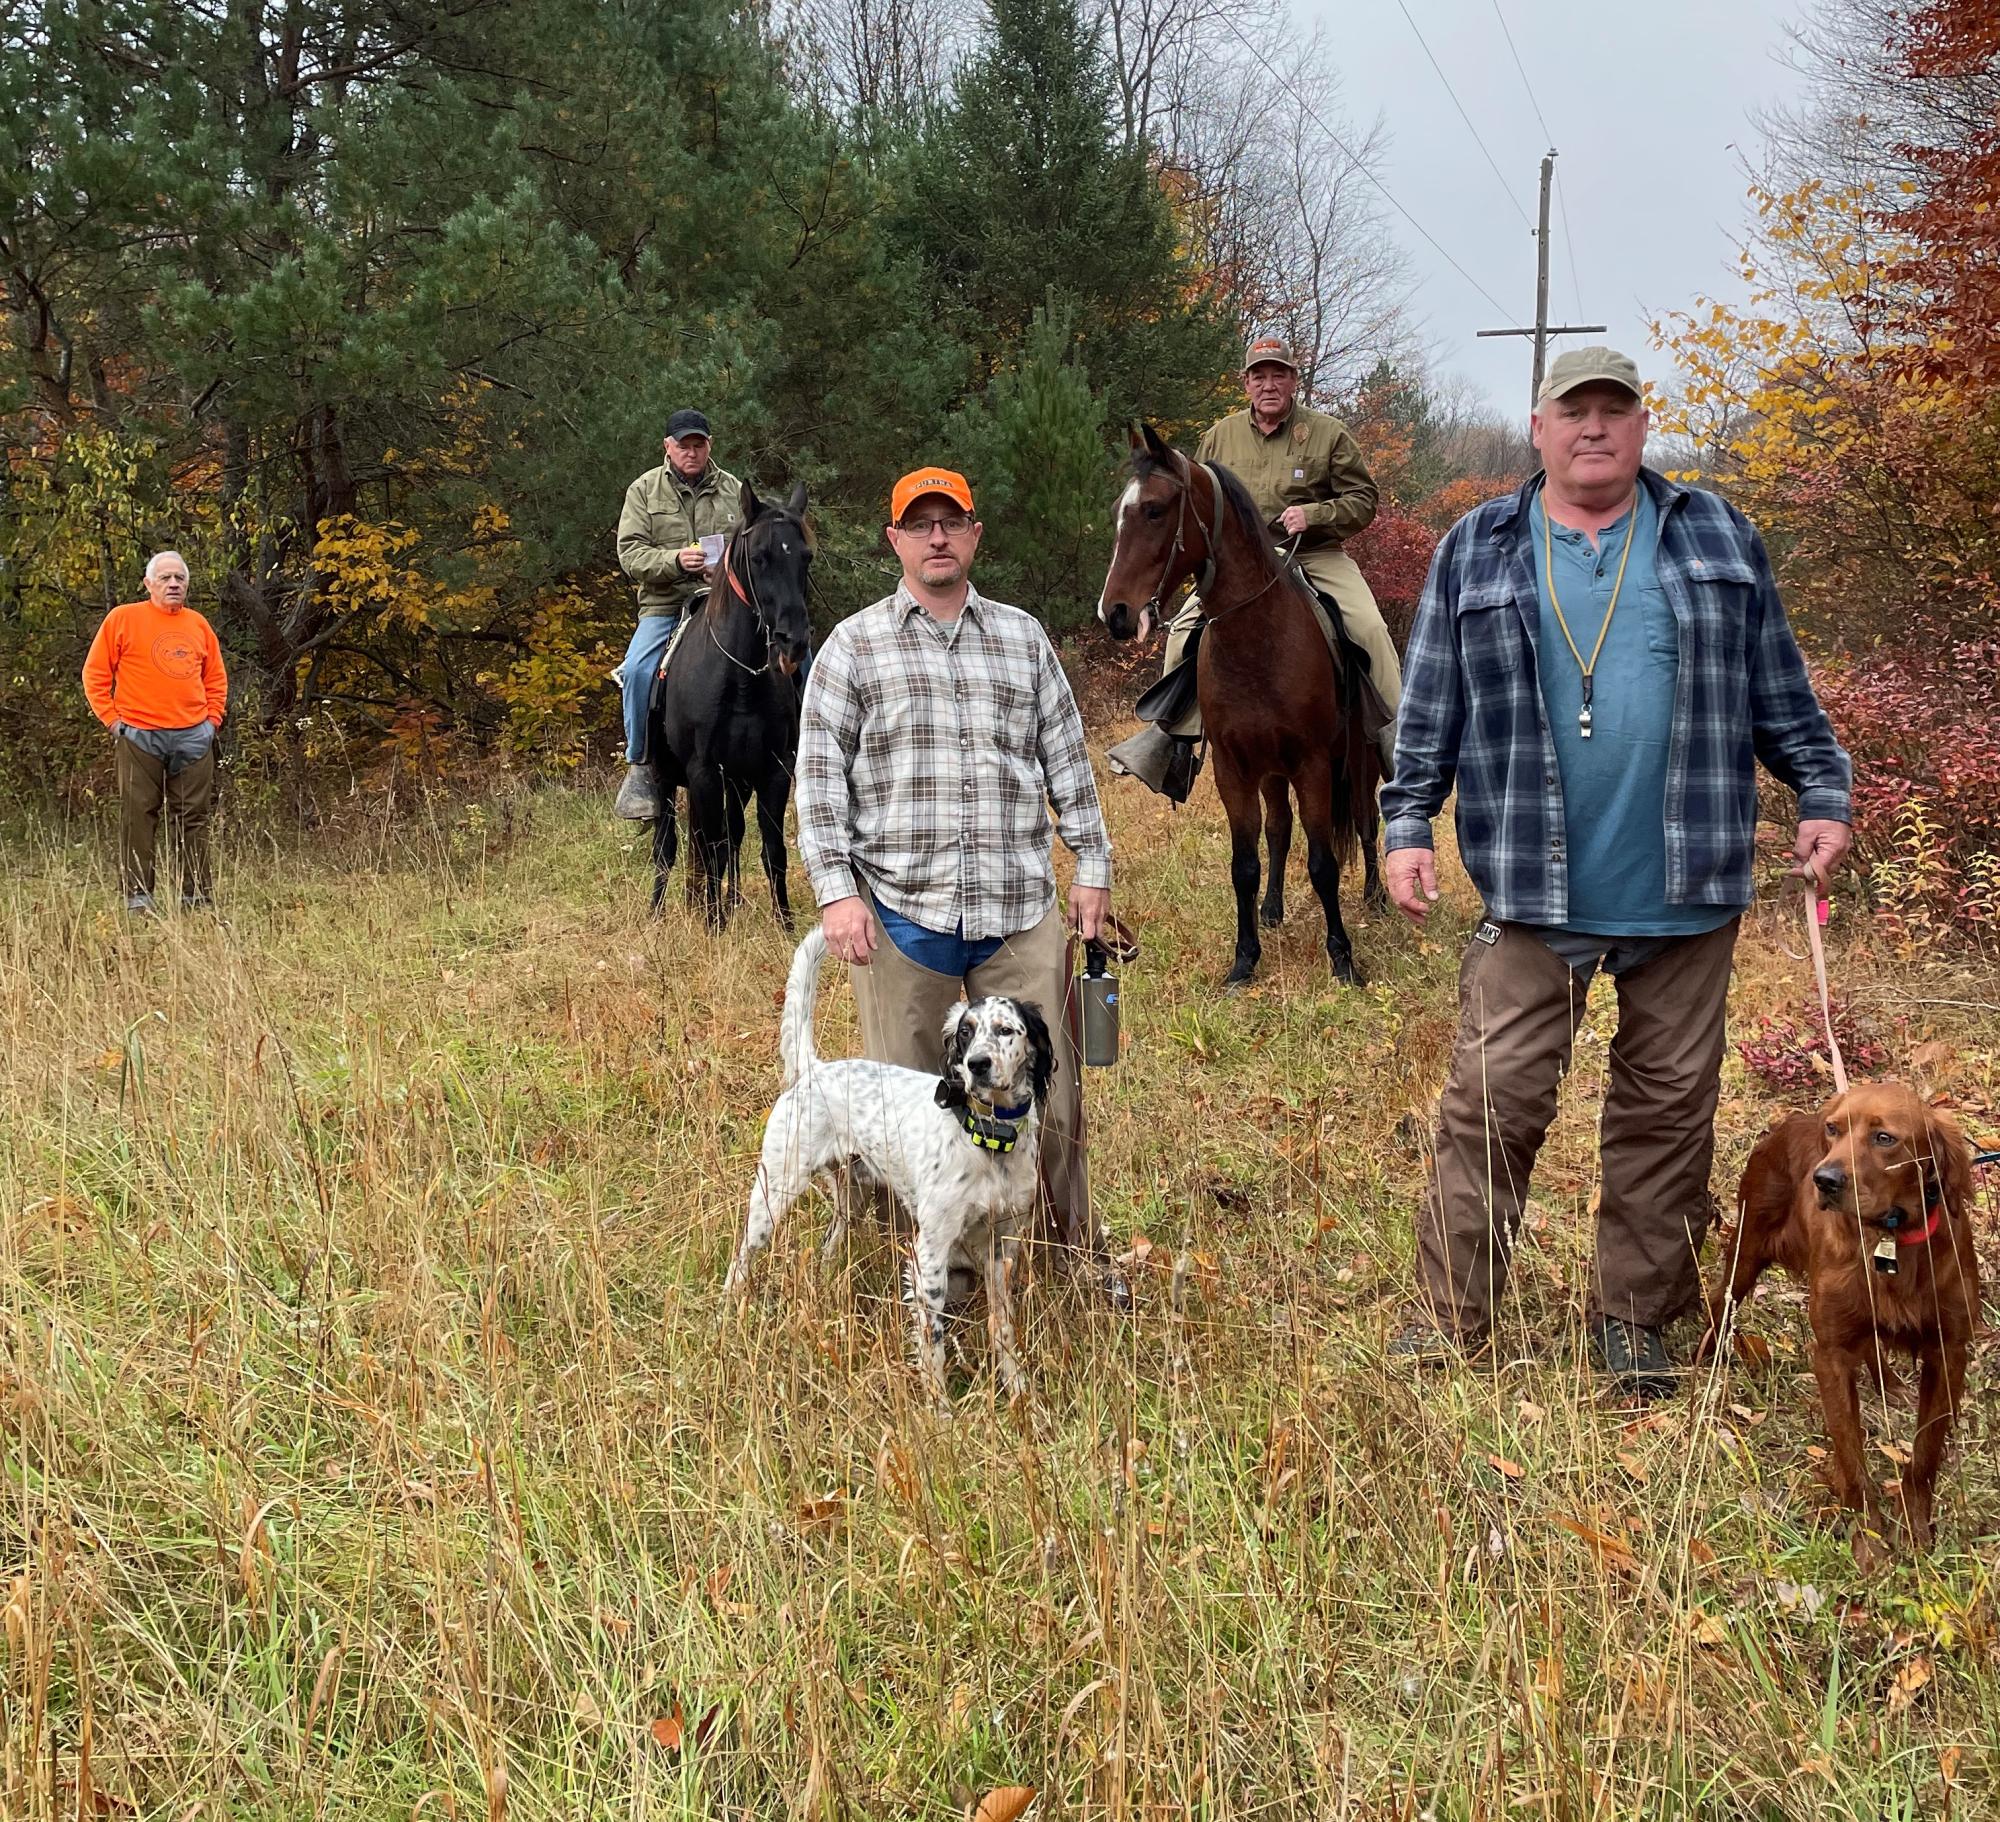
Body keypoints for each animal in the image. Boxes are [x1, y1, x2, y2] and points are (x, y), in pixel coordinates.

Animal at [652, 484, 816, 928]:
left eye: (805, 556)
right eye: (759, 556)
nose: (793, 640)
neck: (740, 679)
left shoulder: (773, 771)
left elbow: (771, 850)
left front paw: (784, 923)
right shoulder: (705, 772)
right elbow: (709, 848)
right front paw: (713, 925)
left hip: (738, 783)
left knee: (732, 837)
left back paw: (731, 900)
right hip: (663, 779)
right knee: (665, 846)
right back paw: (656, 914)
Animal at [1104, 422, 1384, 992]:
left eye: (1155, 510)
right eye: (1120, 510)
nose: (1115, 613)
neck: (1259, 640)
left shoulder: (1313, 765)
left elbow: (1323, 863)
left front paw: (1343, 958)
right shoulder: (1234, 769)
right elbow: (1245, 864)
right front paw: (1245, 958)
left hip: (1358, 760)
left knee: (1367, 820)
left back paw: (1375, 896)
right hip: (1271, 771)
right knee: (1279, 829)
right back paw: (1273, 908)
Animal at [1704, 1088, 1984, 1576]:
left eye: (1884, 1137)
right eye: (1833, 1129)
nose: (1825, 1180)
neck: (1890, 1241)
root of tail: (1786, 1123)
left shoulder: (1949, 1351)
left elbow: (1925, 1453)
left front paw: (1914, 1529)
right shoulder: (1831, 1354)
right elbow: (1851, 1456)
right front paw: (1869, 1544)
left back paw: (1889, 1384)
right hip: (1748, 1248)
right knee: (1722, 1299)